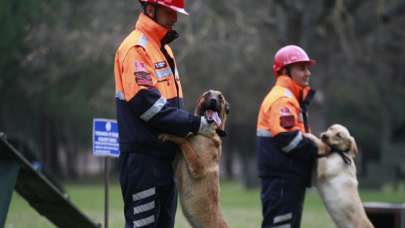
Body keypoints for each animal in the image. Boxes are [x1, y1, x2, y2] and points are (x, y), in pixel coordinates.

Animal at [159, 90, 229, 228]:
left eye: (220, 98)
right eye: (207, 94)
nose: (213, 100)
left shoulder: (199, 167)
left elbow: (184, 141)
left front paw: (170, 135)